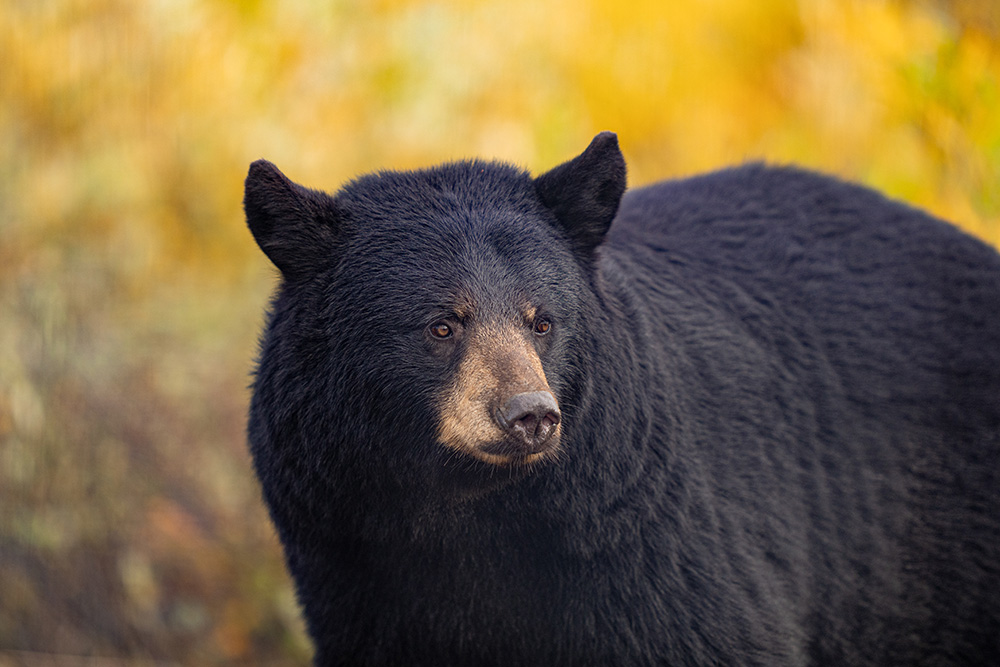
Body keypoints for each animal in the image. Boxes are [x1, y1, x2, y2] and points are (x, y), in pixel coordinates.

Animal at [243, 132, 1000, 666]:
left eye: (542, 319)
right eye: (441, 324)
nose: (530, 415)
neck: (471, 515)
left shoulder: (646, 544)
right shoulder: (351, 567)